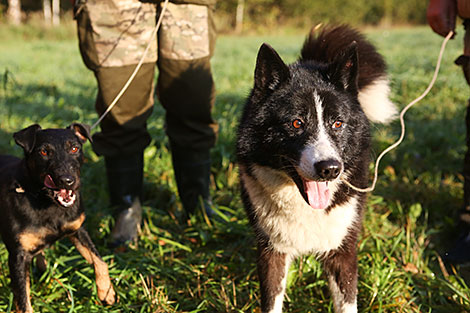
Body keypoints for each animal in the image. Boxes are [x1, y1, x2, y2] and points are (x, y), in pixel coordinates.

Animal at [0, 123, 114, 310]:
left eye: (75, 148)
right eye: (44, 152)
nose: (68, 181)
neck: (46, 202)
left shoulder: (78, 229)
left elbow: (100, 261)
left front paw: (107, 293)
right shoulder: (18, 255)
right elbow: (23, 301)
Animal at [237, 25, 394, 312]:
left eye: (338, 123)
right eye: (296, 123)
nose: (330, 169)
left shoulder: (343, 249)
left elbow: (347, 302)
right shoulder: (270, 250)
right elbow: (272, 301)